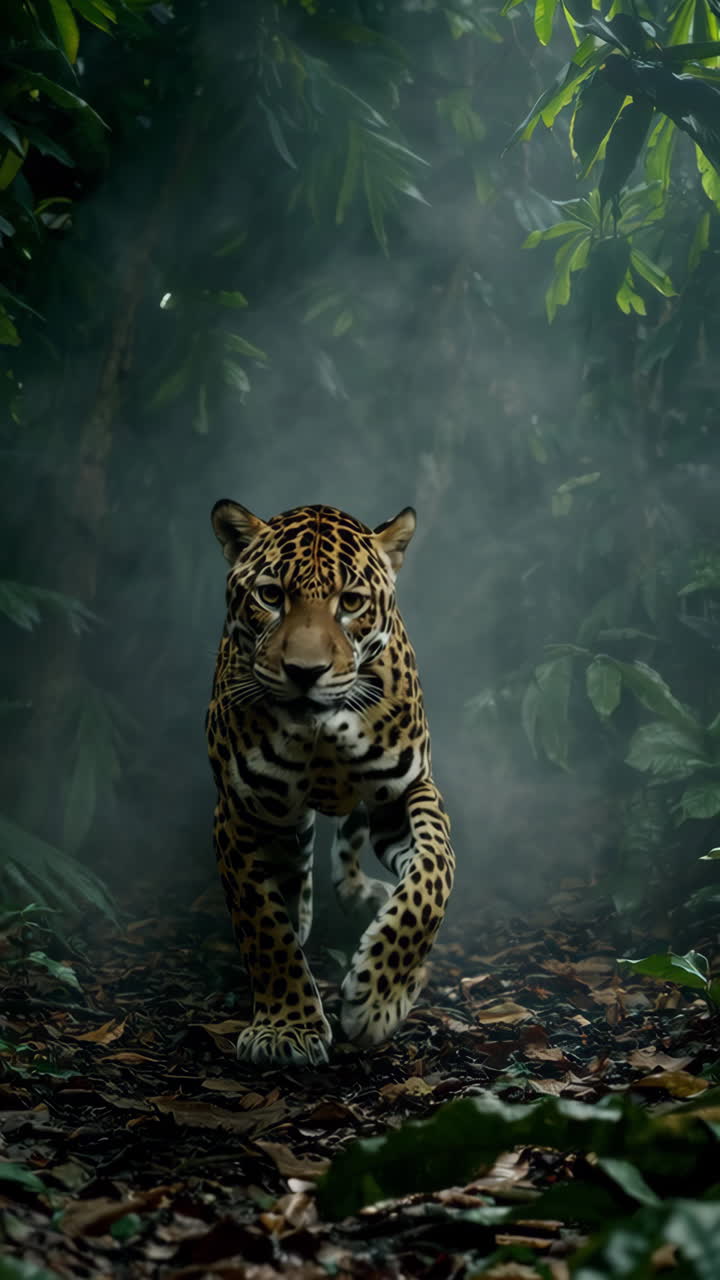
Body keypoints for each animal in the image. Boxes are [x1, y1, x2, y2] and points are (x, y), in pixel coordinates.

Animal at [206, 499, 455, 1067]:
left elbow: (433, 876)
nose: (305, 672)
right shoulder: (237, 812)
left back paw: (366, 896)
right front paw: (285, 1028)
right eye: (271, 595)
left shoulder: (407, 790)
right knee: (297, 864)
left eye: (351, 602)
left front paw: (378, 1000)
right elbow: (261, 922)